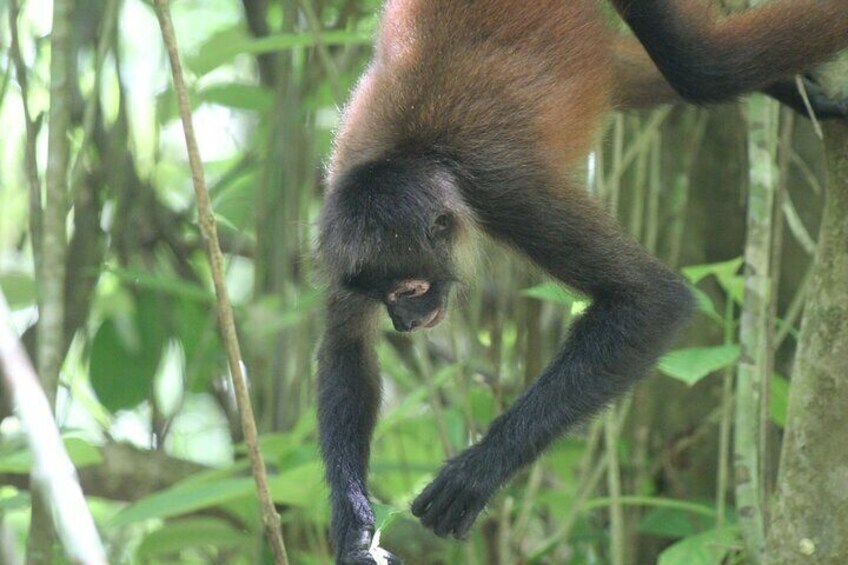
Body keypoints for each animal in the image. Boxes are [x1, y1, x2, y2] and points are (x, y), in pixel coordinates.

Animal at [314, 2, 848, 560]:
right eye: (383, 297)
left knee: (701, 68)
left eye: (410, 290)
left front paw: (479, 470)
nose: (404, 323)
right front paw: (355, 531)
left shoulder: (507, 191)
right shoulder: (337, 222)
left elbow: (651, 299)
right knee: (644, 70)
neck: (413, 154)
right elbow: (348, 347)